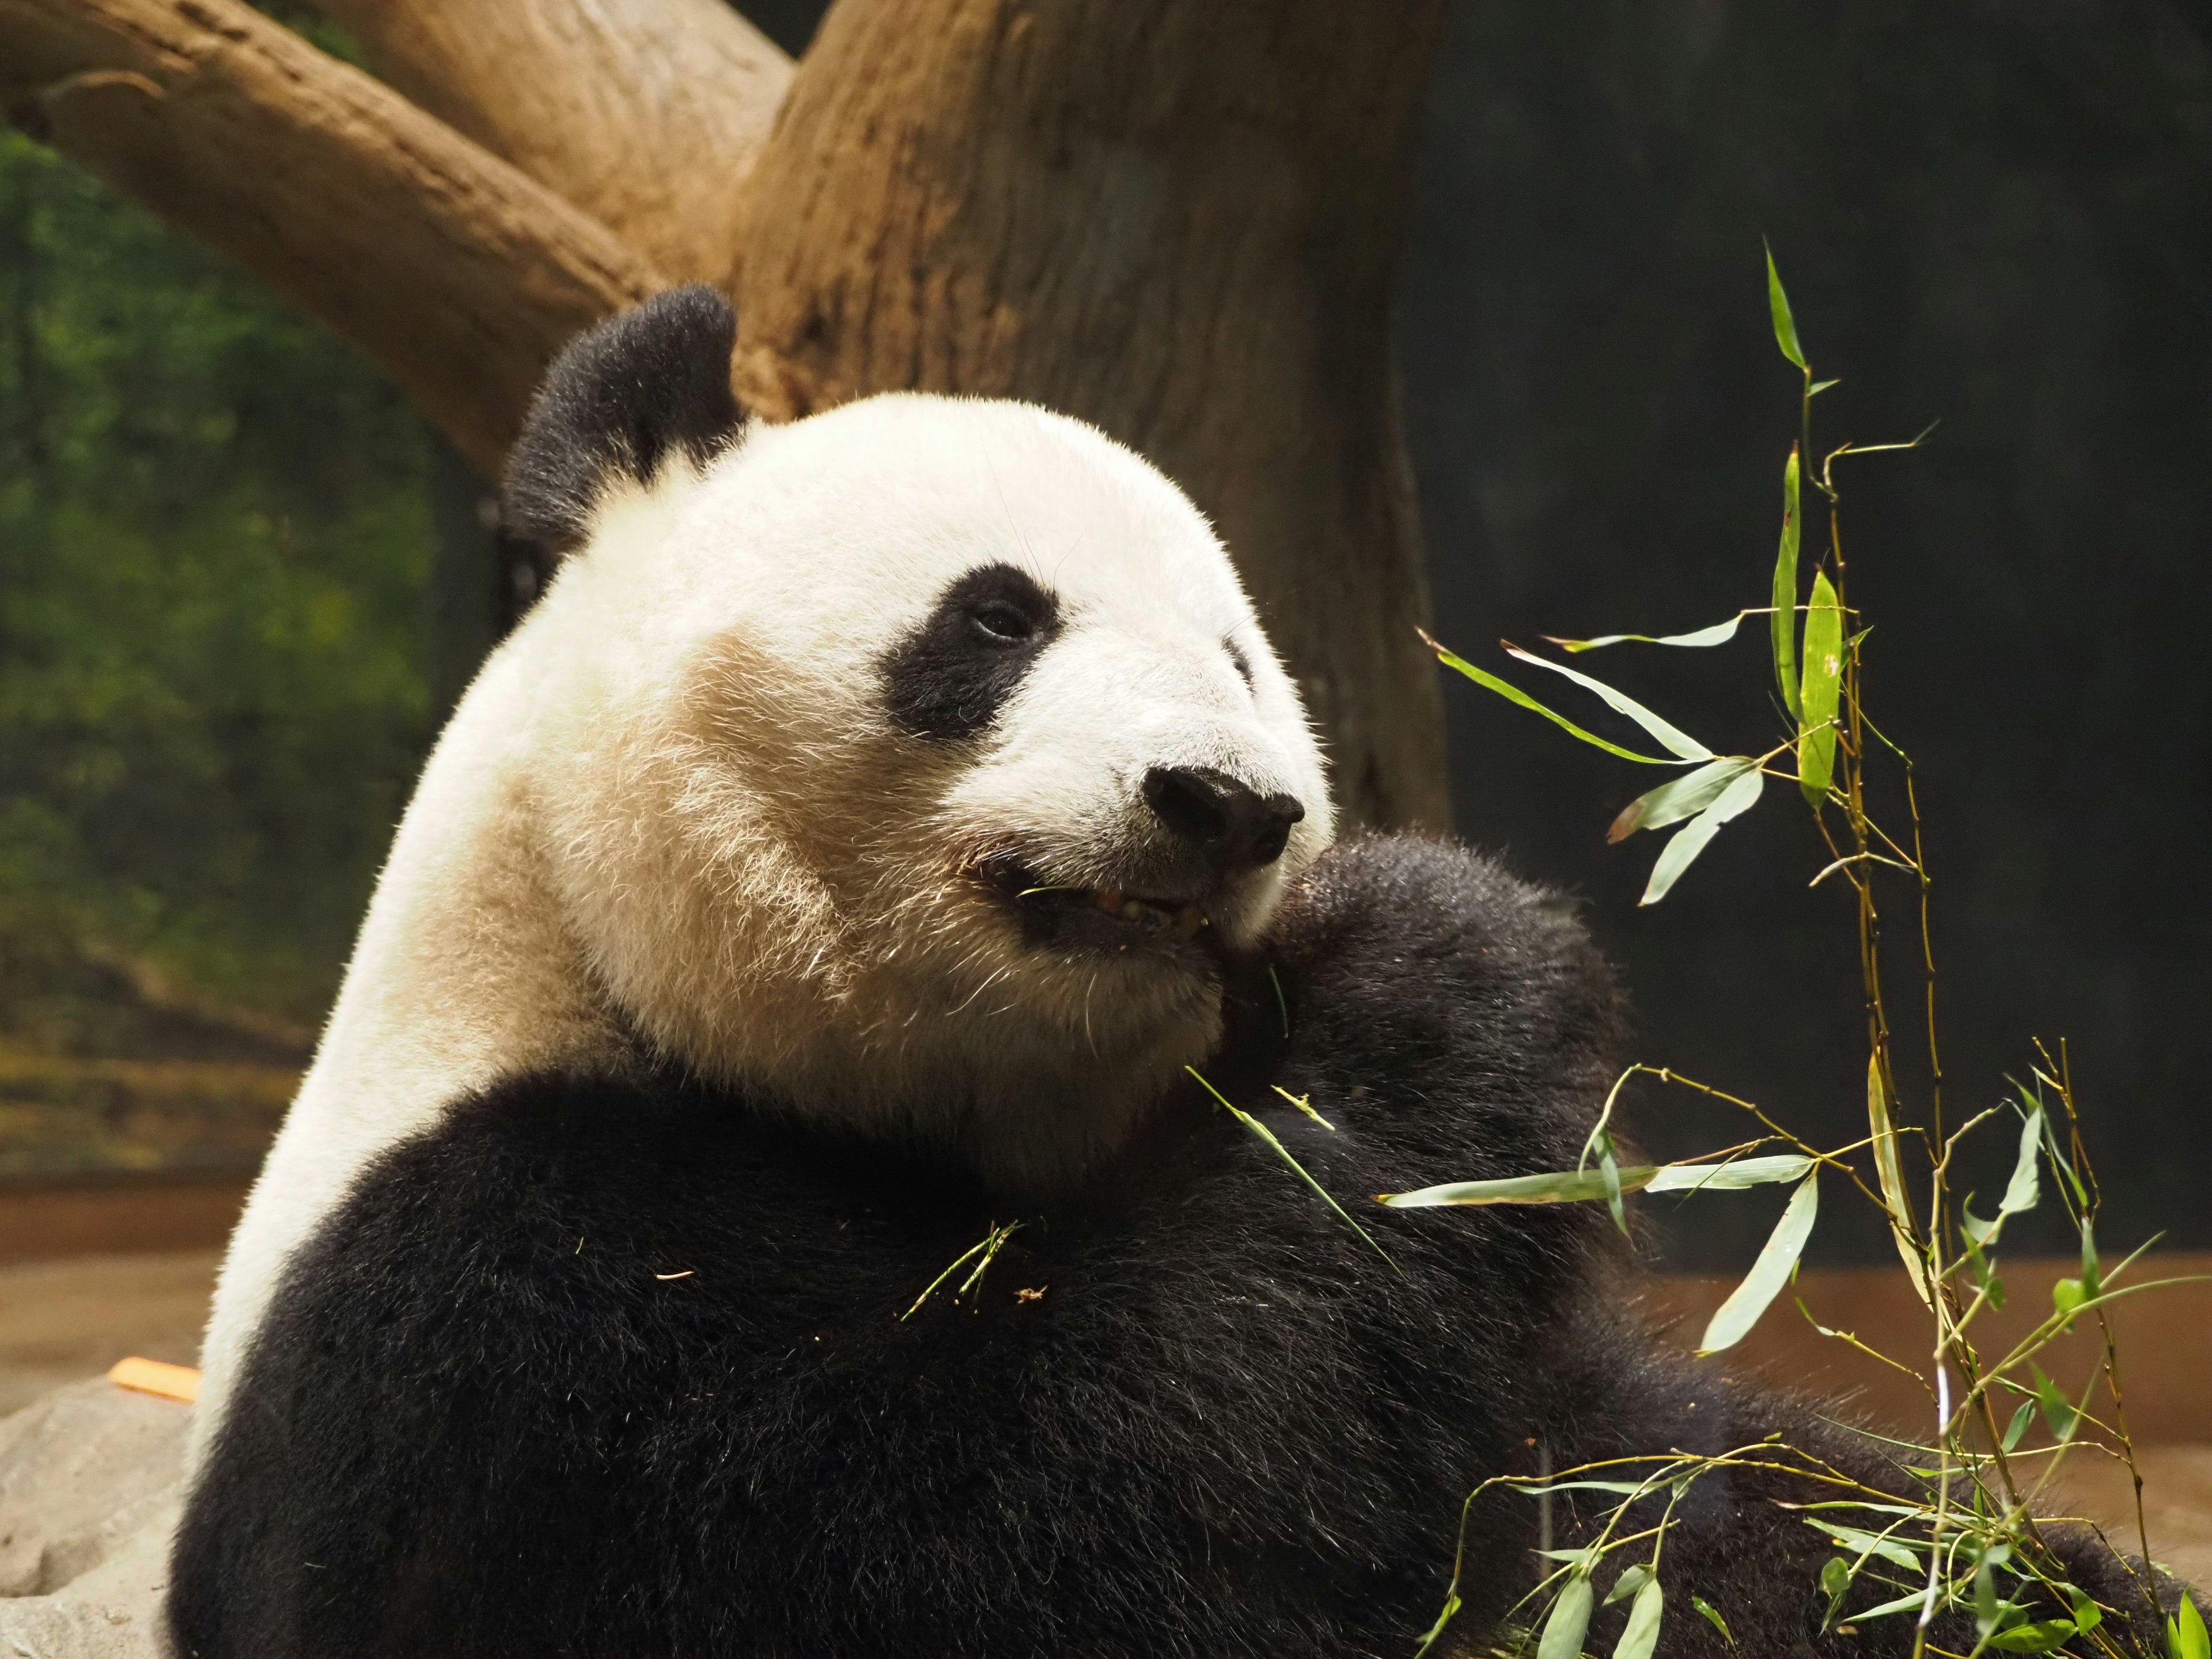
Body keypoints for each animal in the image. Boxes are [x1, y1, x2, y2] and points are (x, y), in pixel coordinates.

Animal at [168, 290, 2176, 1659]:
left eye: (1236, 655)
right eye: (996, 617)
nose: (1227, 807)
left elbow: (1740, 1507)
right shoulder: (504, 1315)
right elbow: (1046, 1530)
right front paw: (1441, 953)